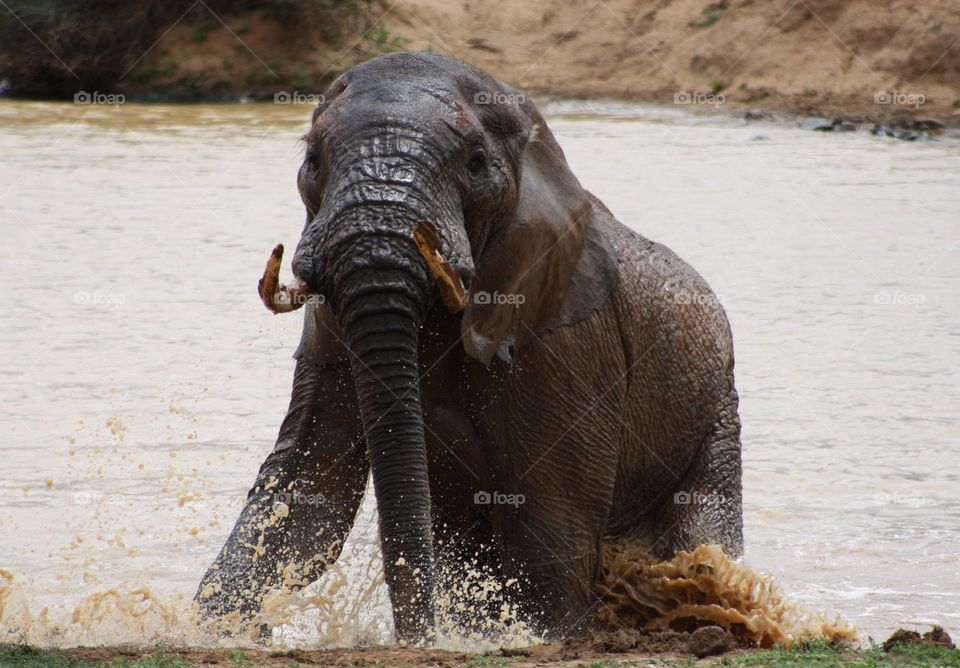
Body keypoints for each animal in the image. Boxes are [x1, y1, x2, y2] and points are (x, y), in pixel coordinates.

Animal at [195, 51, 743, 644]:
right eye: (313, 159)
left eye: (476, 164)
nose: (420, 640)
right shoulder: (330, 327)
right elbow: (307, 486)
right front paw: (219, 628)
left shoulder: (565, 344)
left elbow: (550, 523)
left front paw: (543, 639)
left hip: (717, 410)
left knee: (700, 524)